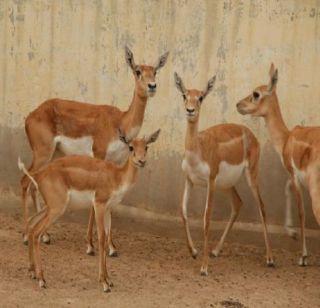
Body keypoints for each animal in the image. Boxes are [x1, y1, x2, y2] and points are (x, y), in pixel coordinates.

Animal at [18, 129, 160, 292]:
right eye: (131, 147)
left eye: (146, 147)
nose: (141, 161)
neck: (116, 176)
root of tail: (39, 175)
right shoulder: (99, 205)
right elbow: (102, 238)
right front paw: (104, 283)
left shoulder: (108, 209)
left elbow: (107, 238)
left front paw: (109, 279)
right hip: (56, 209)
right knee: (36, 233)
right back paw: (42, 279)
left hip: (50, 208)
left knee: (31, 224)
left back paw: (32, 272)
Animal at [19, 45, 170, 256]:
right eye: (138, 71)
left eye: (155, 71)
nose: (152, 86)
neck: (120, 122)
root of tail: (31, 115)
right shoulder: (99, 155)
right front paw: (91, 246)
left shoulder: (117, 161)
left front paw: (112, 248)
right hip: (43, 153)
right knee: (25, 181)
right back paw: (26, 237)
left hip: (53, 154)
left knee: (34, 184)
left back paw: (46, 237)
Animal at [174, 73, 274, 276]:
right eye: (184, 95)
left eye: (201, 97)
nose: (190, 110)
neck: (198, 149)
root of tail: (251, 135)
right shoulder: (190, 180)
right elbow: (183, 211)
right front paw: (194, 252)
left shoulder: (210, 182)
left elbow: (206, 219)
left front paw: (204, 268)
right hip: (227, 184)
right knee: (238, 203)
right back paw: (215, 251)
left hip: (250, 175)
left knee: (261, 206)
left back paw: (269, 259)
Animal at [236, 63, 320, 266]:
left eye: (256, 93)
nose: (238, 105)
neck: (287, 138)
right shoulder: (292, 176)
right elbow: (286, 189)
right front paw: (292, 232)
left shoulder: (295, 175)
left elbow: (301, 211)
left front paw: (303, 257)